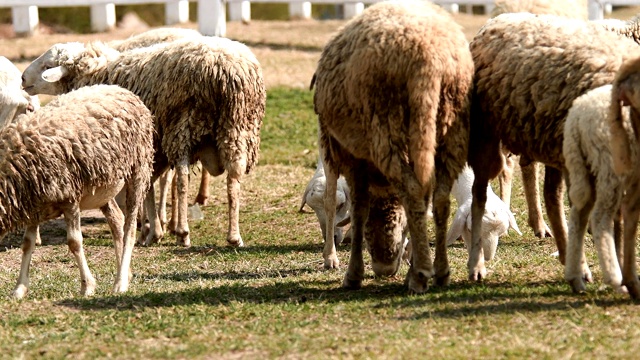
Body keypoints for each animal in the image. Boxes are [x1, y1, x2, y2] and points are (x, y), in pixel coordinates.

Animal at [6, 83, 154, 298]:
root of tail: (121, 89)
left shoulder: (69, 199)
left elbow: (74, 242)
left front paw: (87, 286)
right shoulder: (34, 206)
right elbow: (27, 243)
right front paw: (19, 288)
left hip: (139, 168)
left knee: (130, 227)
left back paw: (120, 283)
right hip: (104, 186)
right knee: (117, 219)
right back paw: (125, 272)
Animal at [20, 34, 264, 248]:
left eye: (46, 66)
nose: (22, 78)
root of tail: (228, 70)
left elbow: (145, 188)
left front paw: (149, 230)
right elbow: (148, 187)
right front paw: (150, 229)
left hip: (184, 126)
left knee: (182, 179)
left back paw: (183, 233)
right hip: (238, 128)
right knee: (234, 177)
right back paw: (234, 236)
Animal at [312, 0, 472, 292]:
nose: (385, 269)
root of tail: (428, 63)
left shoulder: (347, 155)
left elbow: (357, 208)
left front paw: (351, 273)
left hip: (386, 126)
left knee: (412, 191)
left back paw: (420, 274)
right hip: (449, 130)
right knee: (438, 198)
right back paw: (440, 271)